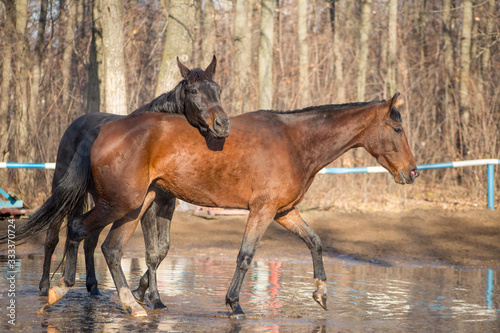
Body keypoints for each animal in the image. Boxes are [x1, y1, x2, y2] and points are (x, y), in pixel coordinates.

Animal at [31, 92, 420, 316]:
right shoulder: (262, 211)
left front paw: (321, 292)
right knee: (77, 229)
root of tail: (104, 129)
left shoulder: (283, 212)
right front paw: (234, 304)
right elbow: (245, 256)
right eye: (397, 129)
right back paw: (58, 288)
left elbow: (315, 241)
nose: (413, 172)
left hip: (136, 205)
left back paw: (130, 303)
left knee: (110, 247)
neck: (294, 142)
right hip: (120, 203)